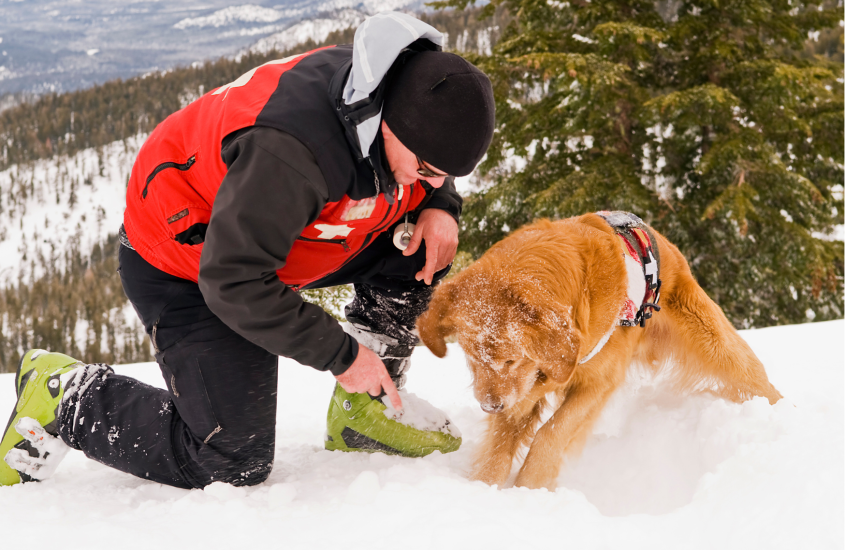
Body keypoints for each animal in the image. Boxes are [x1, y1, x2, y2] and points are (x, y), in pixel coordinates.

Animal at [418, 215, 780, 492]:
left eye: (512, 358)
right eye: (470, 357)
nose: (489, 406)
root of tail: (662, 241)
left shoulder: (597, 381)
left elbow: (551, 434)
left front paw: (529, 489)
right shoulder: (521, 392)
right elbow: (499, 449)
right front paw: (484, 490)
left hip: (715, 345)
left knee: (754, 377)